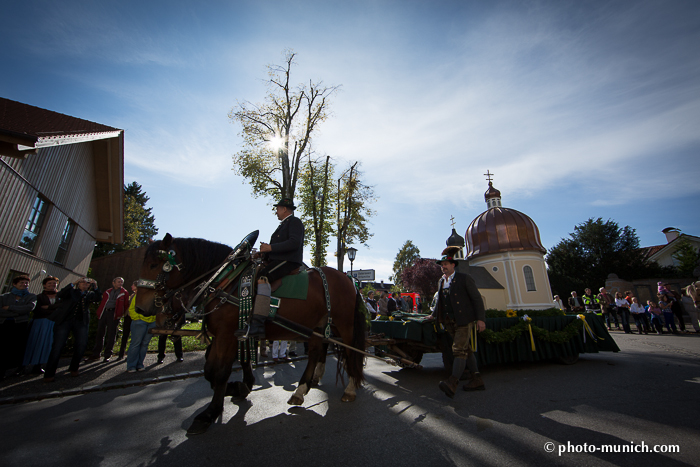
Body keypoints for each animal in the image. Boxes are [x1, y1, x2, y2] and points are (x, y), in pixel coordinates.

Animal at [134, 234, 370, 436]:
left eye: (154, 265)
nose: (141, 308)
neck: (224, 281)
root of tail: (349, 280)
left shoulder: (227, 335)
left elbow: (220, 371)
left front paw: (210, 412)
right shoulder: (225, 336)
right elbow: (212, 369)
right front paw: (237, 387)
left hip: (345, 326)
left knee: (351, 353)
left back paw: (349, 389)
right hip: (318, 328)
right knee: (315, 353)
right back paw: (301, 390)